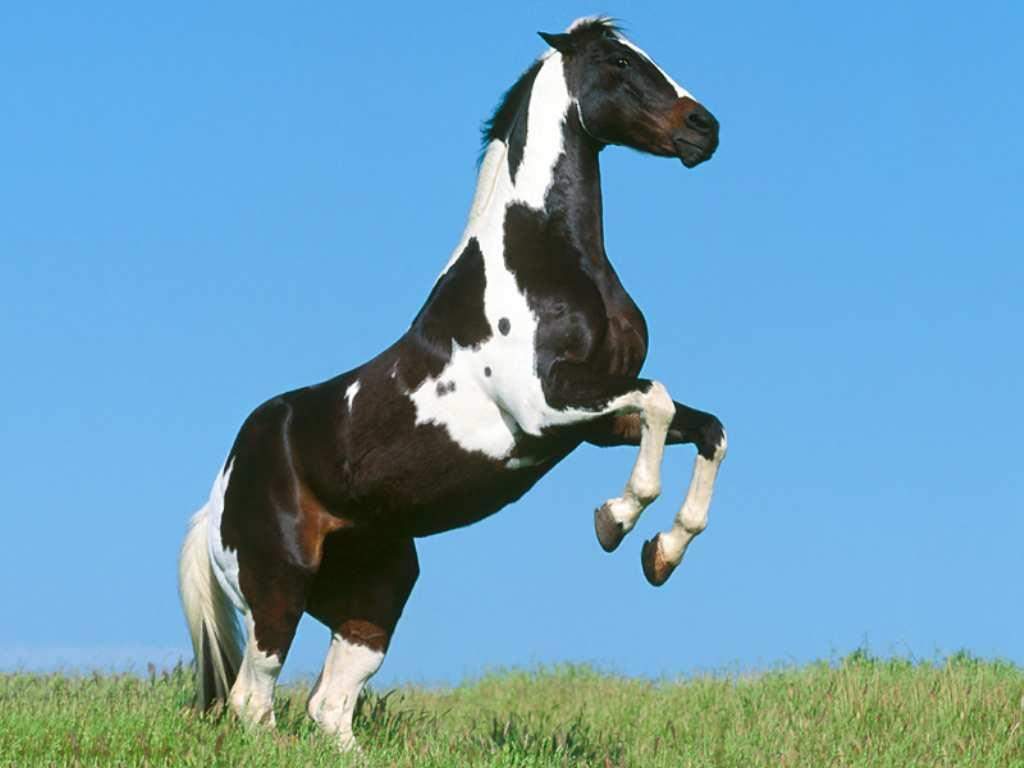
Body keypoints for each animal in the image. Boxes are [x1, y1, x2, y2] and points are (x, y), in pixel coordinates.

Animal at [178, 16, 726, 750]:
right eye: (616, 62)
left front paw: (661, 554)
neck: (540, 261)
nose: (704, 128)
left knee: (330, 706)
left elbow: (706, 429)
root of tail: (217, 497)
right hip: (277, 591)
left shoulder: (600, 419)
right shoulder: (547, 407)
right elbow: (661, 402)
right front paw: (616, 521)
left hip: (376, 593)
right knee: (253, 701)